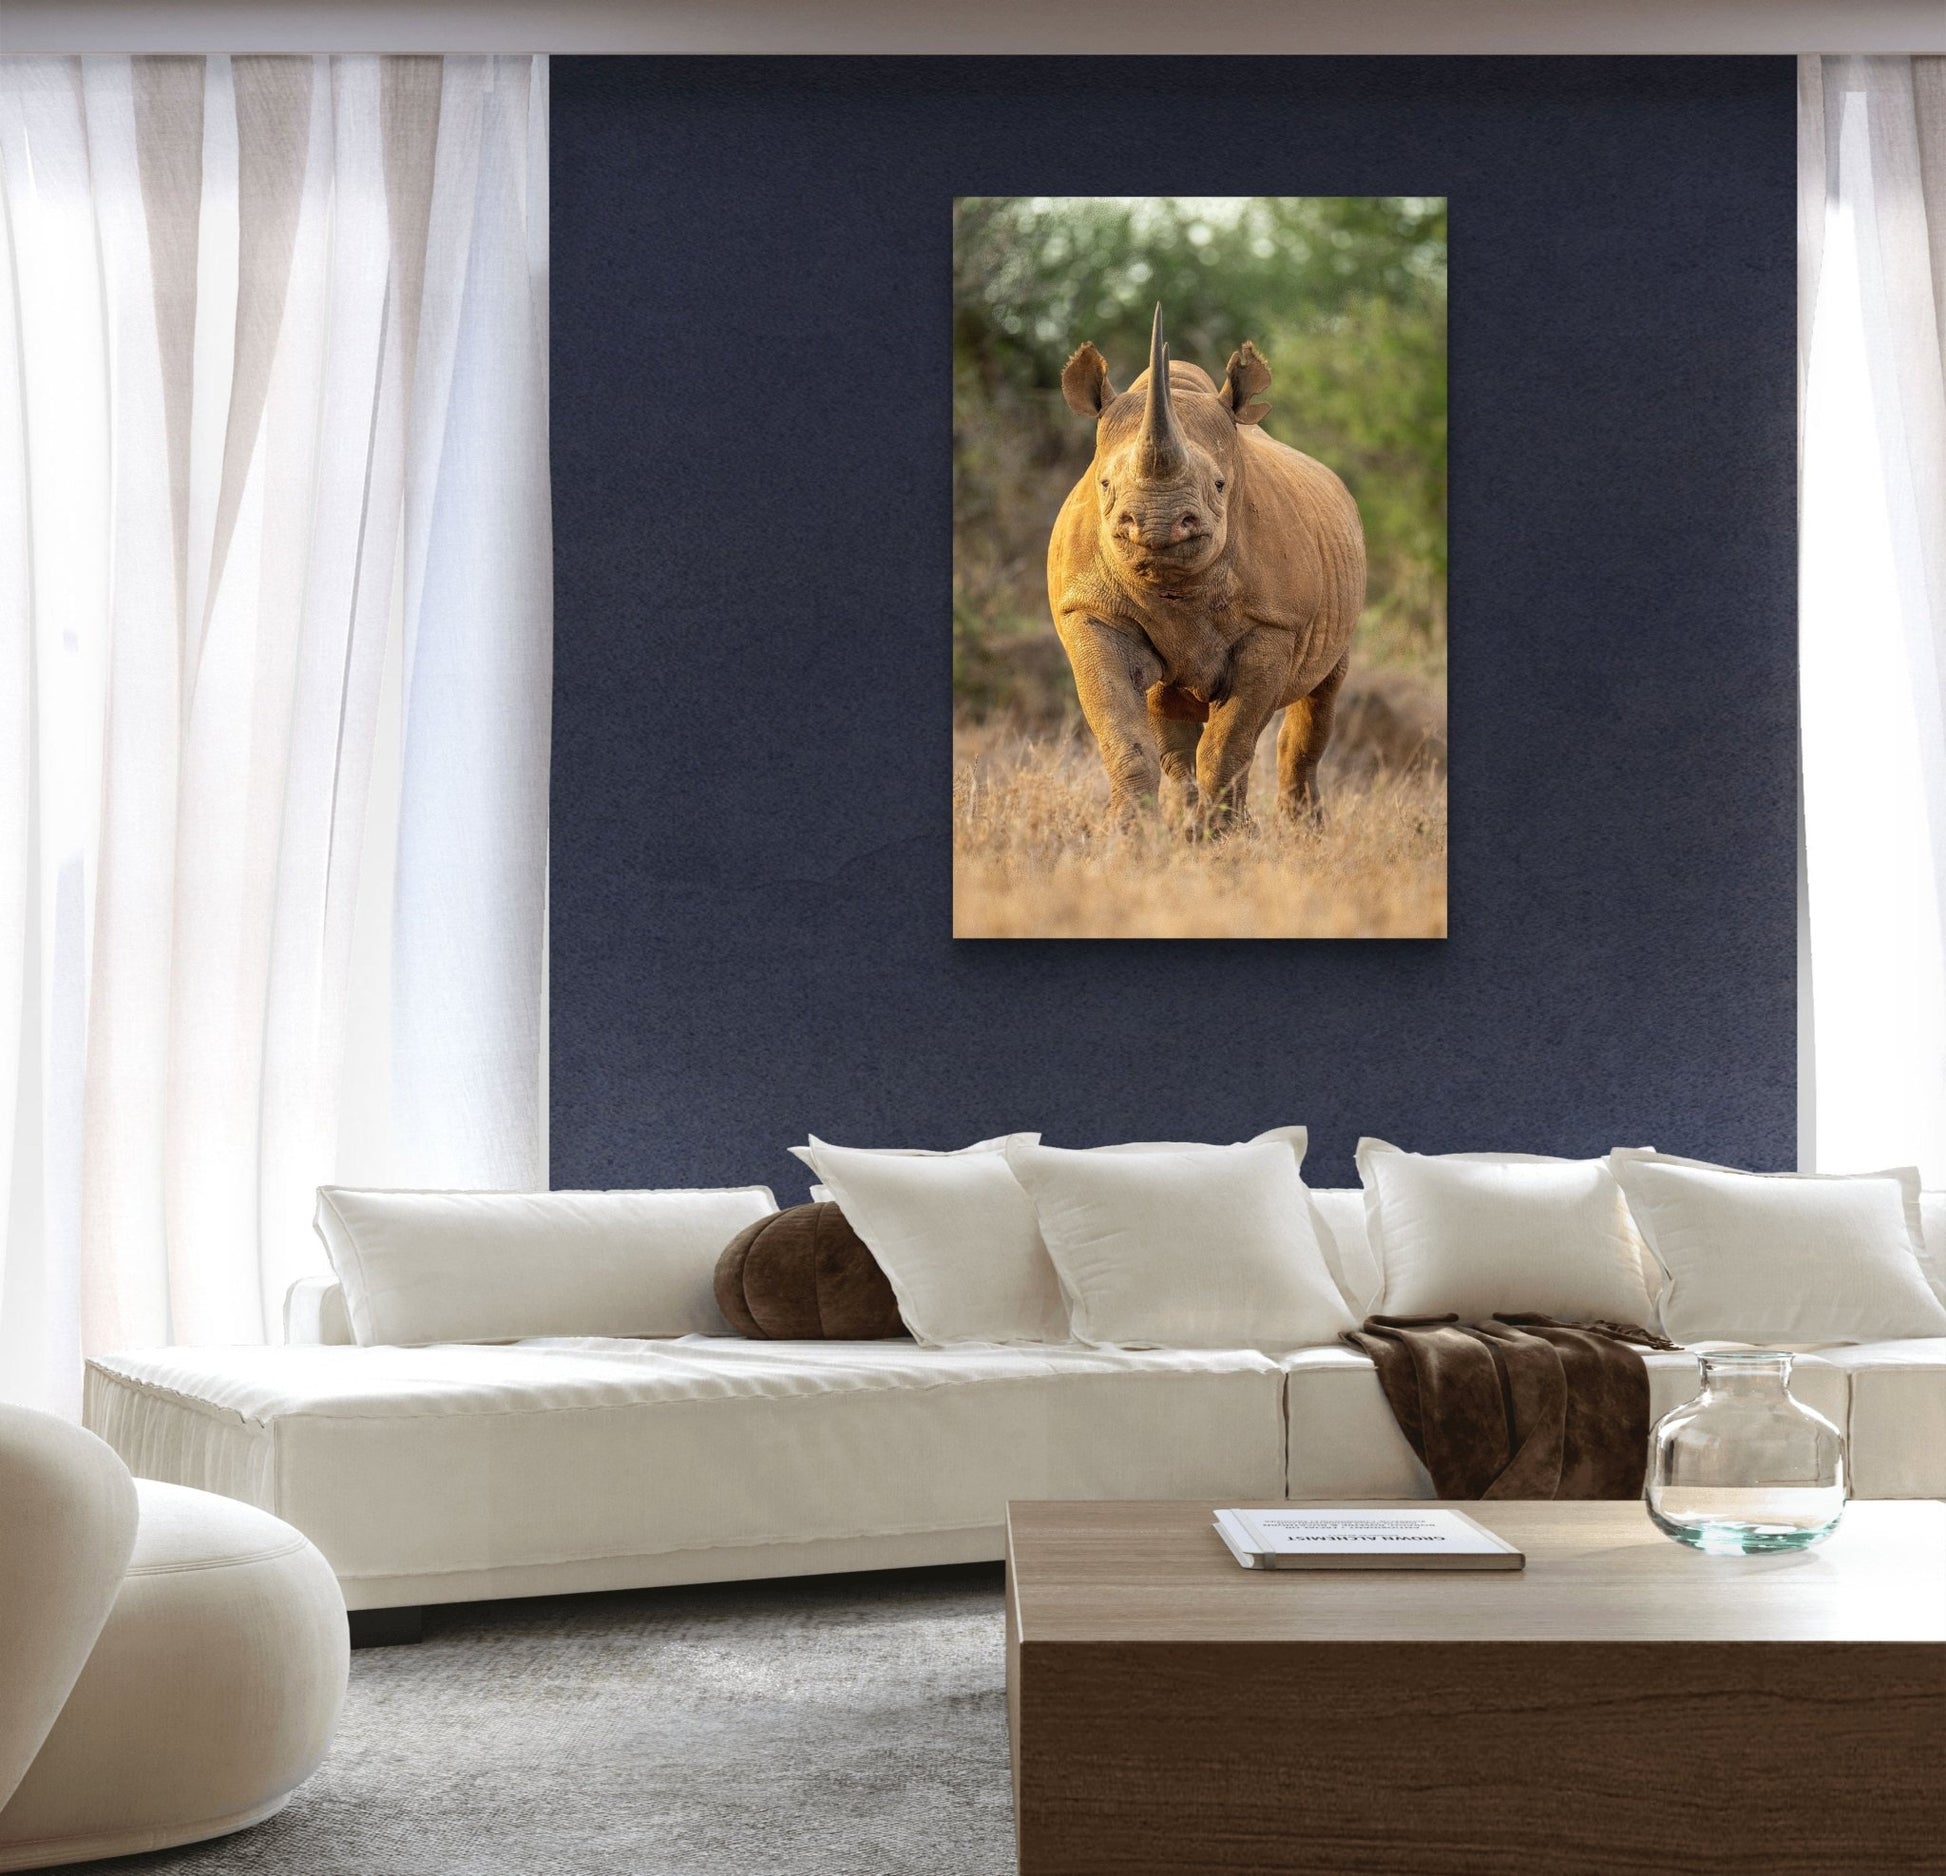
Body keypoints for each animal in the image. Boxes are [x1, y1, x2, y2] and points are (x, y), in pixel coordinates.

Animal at [1046, 306, 1365, 827]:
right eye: (1105, 483)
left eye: (1219, 485)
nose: (1156, 523)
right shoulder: (1092, 611)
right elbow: (1123, 734)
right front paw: (1127, 835)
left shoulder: (1273, 625)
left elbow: (1228, 744)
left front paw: (1225, 837)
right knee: (1168, 720)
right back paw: (1185, 826)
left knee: (1320, 695)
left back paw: (1299, 830)